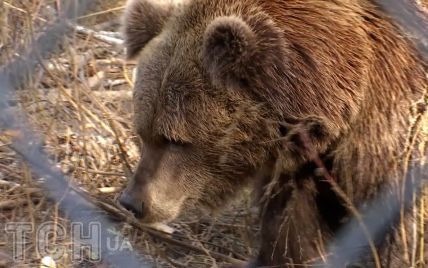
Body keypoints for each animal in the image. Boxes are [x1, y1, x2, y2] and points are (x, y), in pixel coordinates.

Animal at [118, 0, 428, 266]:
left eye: (175, 139)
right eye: (143, 133)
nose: (132, 202)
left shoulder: (393, 123)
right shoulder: (298, 166)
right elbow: (291, 227)